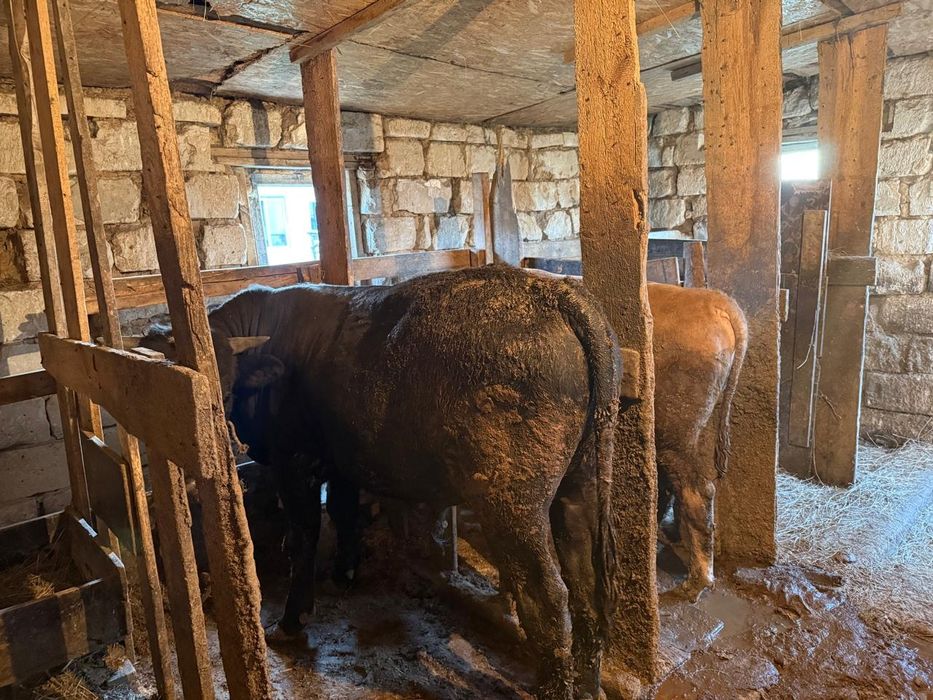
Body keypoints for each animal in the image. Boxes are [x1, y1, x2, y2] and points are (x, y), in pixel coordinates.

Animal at [143, 265, 622, 700]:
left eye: (224, 389)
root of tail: (556, 293)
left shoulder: (293, 461)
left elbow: (303, 536)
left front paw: (292, 620)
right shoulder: (340, 460)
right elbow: (343, 511)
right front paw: (346, 572)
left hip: (512, 501)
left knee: (548, 595)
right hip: (582, 482)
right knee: (585, 583)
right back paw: (587, 683)